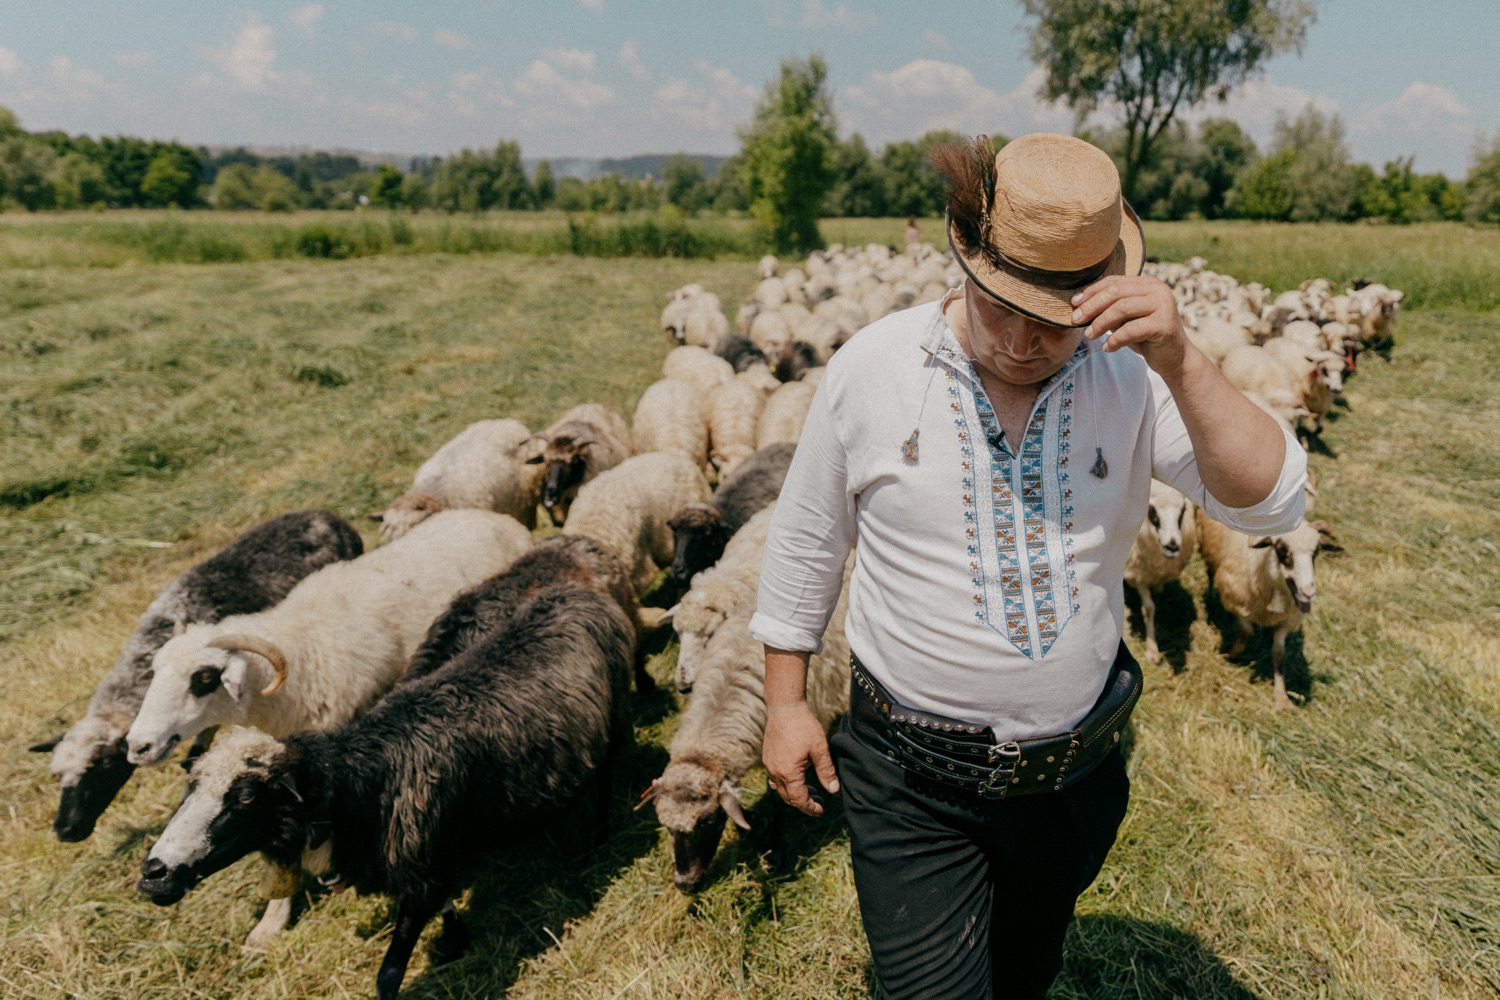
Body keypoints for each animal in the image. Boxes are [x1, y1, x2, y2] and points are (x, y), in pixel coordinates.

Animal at [1128, 479, 1194, 659]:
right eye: (1152, 510)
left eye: (1183, 509)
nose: (1172, 547)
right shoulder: (1136, 573)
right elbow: (1149, 609)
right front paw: (1152, 649)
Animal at [1200, 515, 1344, 710]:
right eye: (1282, 551)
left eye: (1316, 552)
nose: (1308, 593)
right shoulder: (1236, 601)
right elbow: (1246, 631)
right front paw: (1230, 654)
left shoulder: (1287, 621)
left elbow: (1279, 653)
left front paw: (1281, 696)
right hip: (1210, 549)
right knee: (1210, 573)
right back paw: (1212, 600)